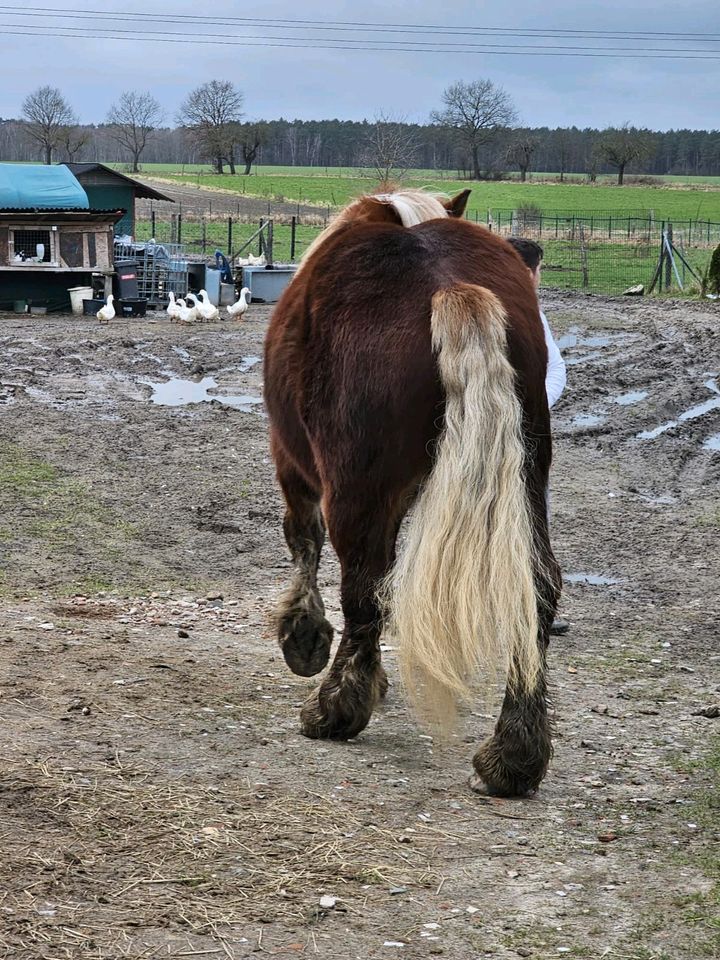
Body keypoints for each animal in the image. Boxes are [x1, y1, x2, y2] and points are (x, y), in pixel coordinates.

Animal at [264, 188, 564, 796]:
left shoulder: (294, 465)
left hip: (354, 491)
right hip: (527, 477)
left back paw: (335, 709)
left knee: (364, 587)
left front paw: (304, 638)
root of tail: (450, 285)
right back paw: (513, 757)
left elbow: (303, 542)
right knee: (539, 586)